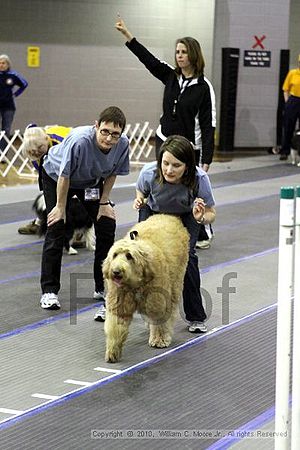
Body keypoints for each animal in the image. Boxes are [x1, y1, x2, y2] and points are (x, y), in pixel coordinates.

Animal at [102, 213, 189, 364]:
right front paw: (113, 350)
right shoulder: (119, 307)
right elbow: (115, 329)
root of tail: (168, 216)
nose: (116, 271)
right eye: (114, 255)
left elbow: (160, 324)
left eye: (129, 256)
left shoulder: (158, 303)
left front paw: (160, 340)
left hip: (176, 282)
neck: (135, 285)